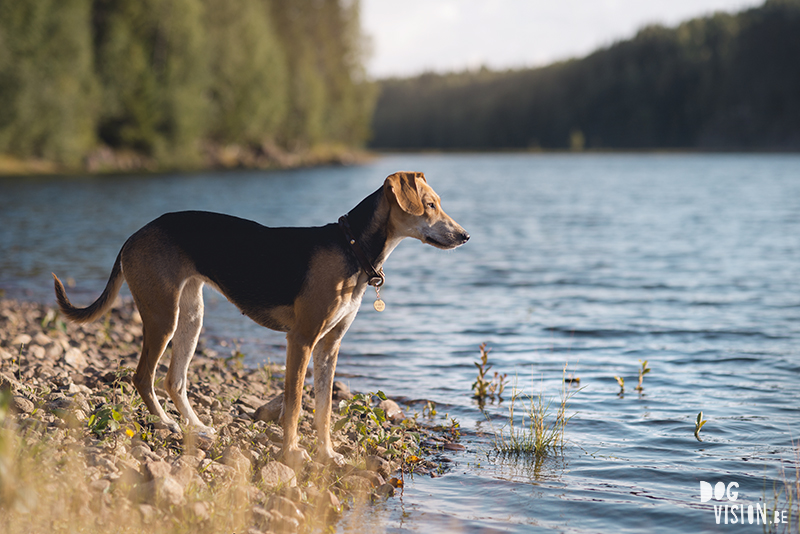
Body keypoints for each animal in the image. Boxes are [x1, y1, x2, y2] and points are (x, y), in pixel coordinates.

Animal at [53, 173, 468, 468]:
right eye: (429, 205)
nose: (465, 236)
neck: (353, 248)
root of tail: (133, 236)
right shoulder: (301, 341)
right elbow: (295, 406)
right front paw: (293, 453)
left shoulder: (329, 347)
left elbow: (323, 411)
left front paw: (327, 454)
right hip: (162, 317)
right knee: (143, 377)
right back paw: (167, 424)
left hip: (191, 316)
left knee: (175, 380)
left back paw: (195, 426)